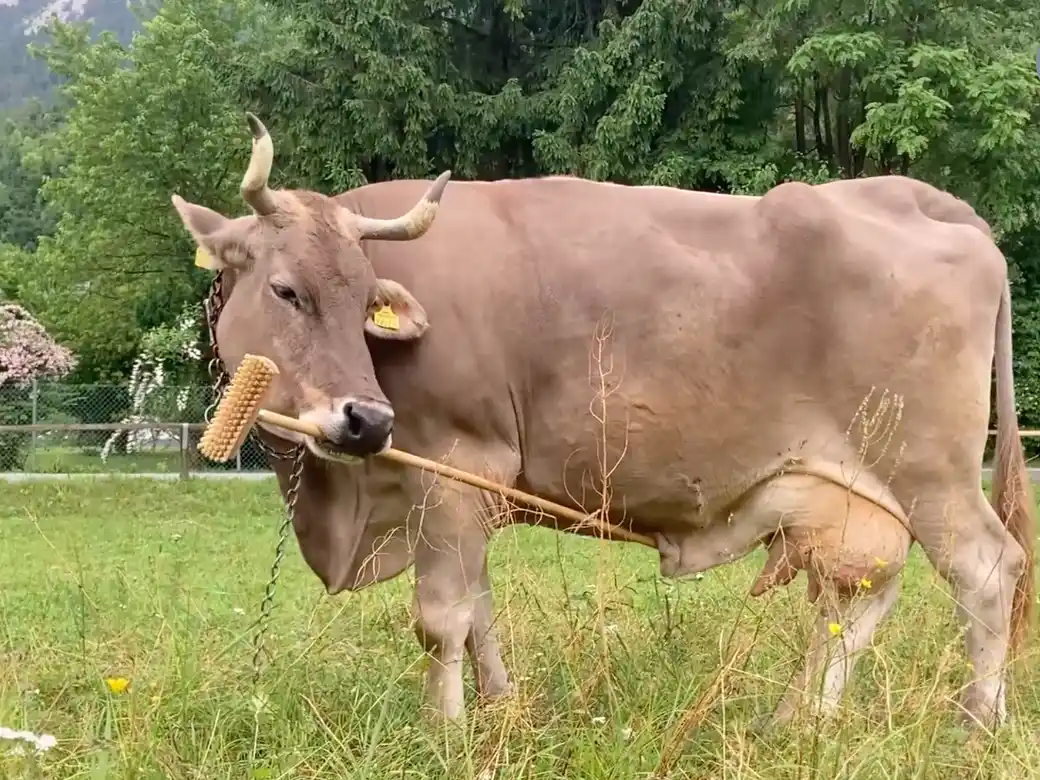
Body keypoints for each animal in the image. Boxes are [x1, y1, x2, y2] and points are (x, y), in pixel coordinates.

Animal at [171, 113, 1035, 730]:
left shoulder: (459, 468)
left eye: (360, 302)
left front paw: (444, 733)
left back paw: (974, 724)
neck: (345, 505)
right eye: (287, 290)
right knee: (859, 598)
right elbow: (480, 609)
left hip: (931, 474)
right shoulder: (458, 493)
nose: (366, 420)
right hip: (857, 494)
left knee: (987, 570)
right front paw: (500, 708)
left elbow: (444, 617)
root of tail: (911, 194)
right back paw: (799, 718)